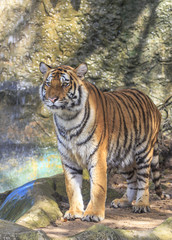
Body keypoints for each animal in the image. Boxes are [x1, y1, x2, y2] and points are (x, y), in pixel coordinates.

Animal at [39, 62, 167, 223]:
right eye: (48, 83)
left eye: (65, 84)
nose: (52, 99)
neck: (67, 119)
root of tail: (152, 102)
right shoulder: (68, 160)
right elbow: (72, 188)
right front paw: (74, 212)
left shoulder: (97, 156)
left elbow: (97, 188)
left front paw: (93, 214)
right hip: (123, 156)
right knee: (133, 179)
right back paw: (124, 201)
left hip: (143, 152)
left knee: (144, 180)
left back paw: (141, 204)